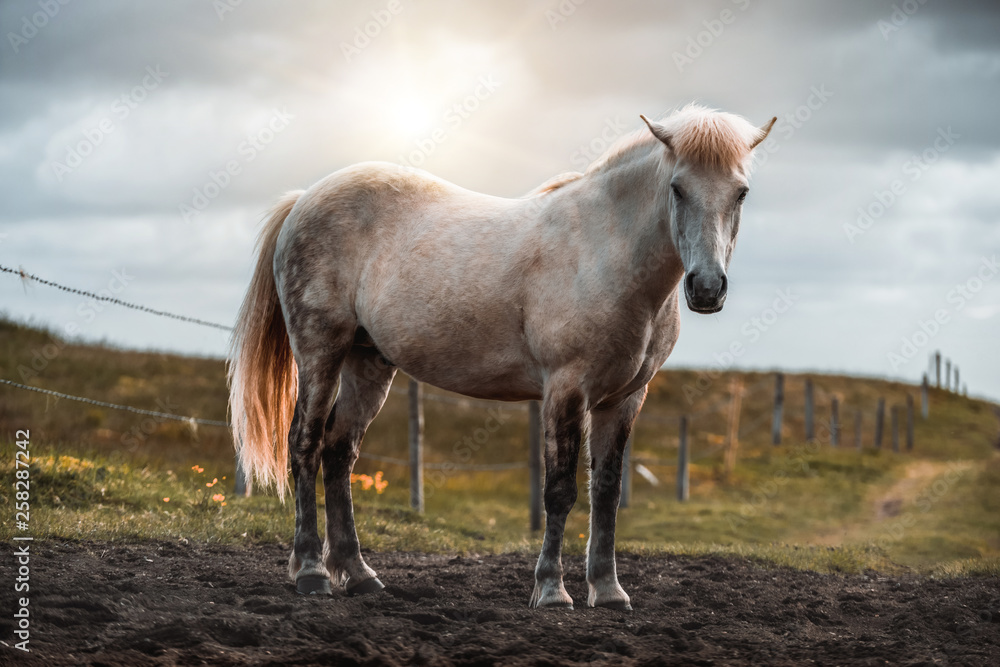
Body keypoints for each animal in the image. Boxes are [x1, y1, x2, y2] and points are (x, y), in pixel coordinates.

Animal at [230, 104, 776, 612]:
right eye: (678, 189)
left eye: (741, 193)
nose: (707, 288)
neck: (606, 253)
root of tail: (305, 198)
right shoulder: (566, 389)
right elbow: (560, 491)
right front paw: (552, 591)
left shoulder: (624, 399)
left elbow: (606, 492)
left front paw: (608, 590)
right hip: (320, 352)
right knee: (304, 445)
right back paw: (311, 572)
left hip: (369, 363)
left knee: (339, 453)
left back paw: (360, 575)